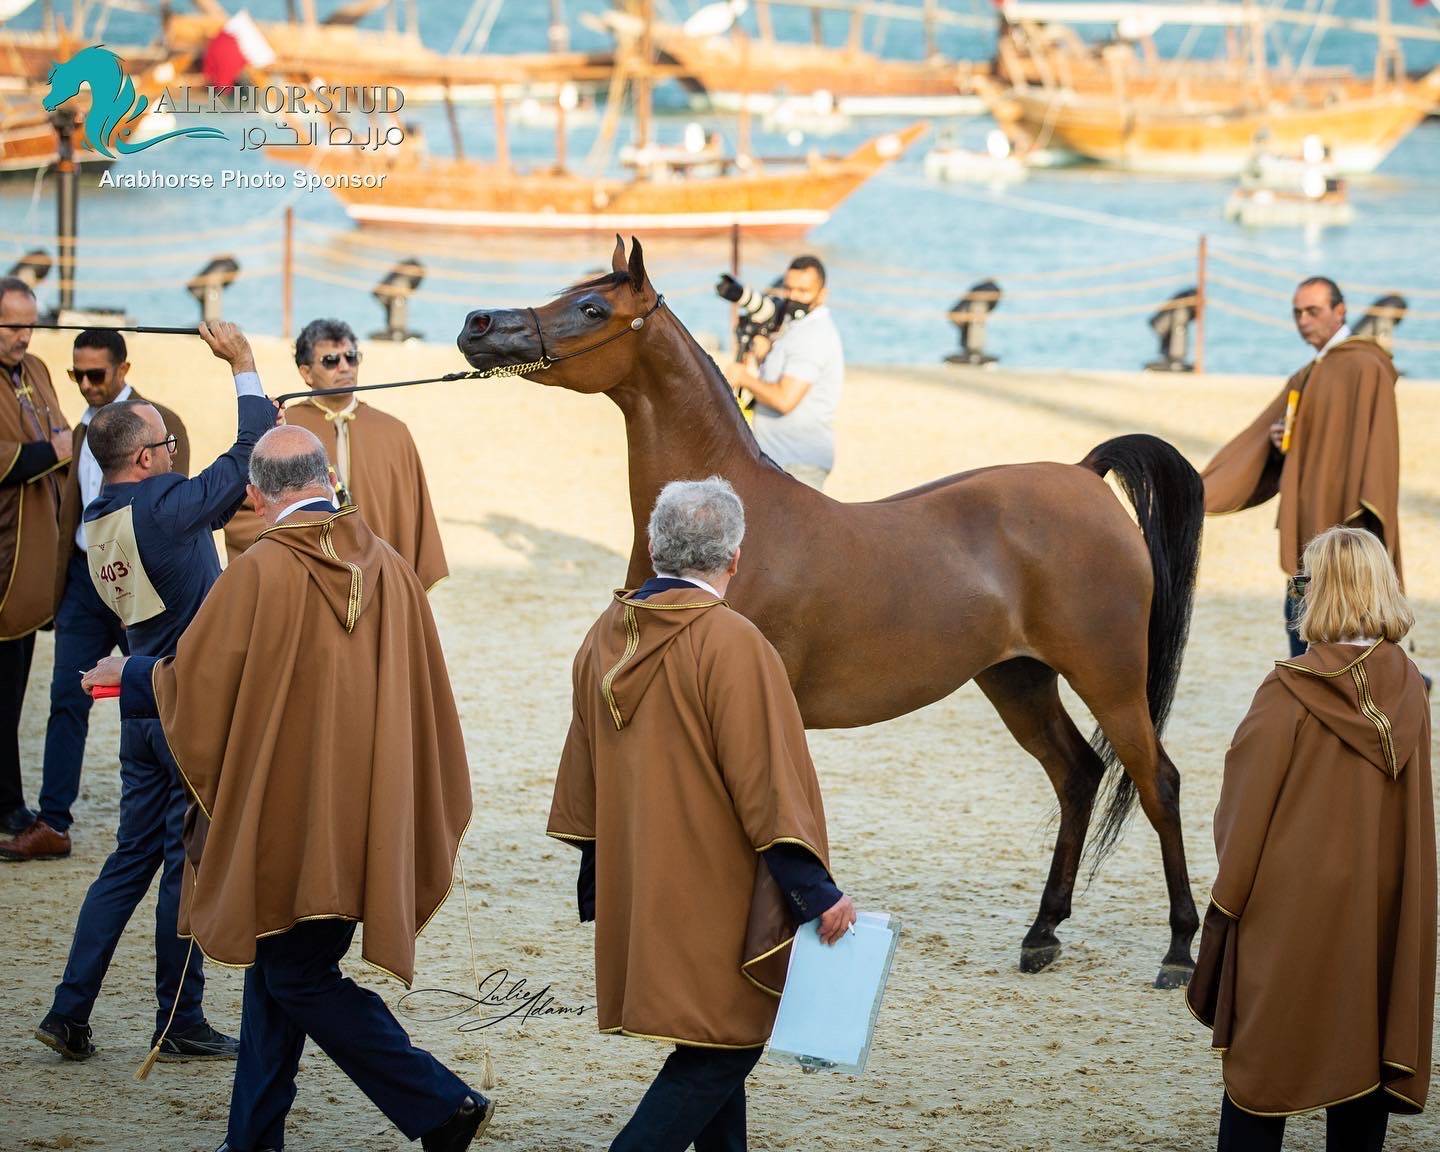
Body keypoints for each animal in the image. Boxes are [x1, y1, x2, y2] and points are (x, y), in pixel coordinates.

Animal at [458, 237, 1206, 989]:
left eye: (592, 307)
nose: (477, 324)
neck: (739, 522)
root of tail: (1083, 475)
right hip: (1018, 680)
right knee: (1078, 776)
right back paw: (1042, 933)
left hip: (1109, 678)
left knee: (1159, 783)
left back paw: (1178, 949)